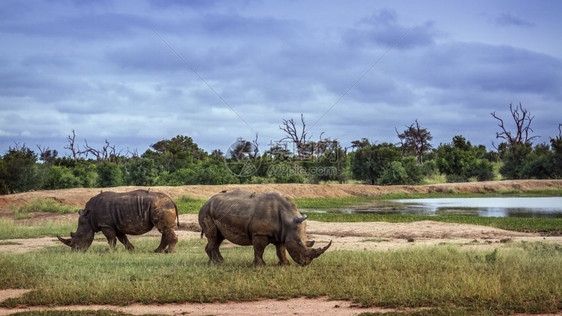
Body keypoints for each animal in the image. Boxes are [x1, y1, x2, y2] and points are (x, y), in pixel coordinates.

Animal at [198, 191, 330, 266]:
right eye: (298, 243)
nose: (306, 263)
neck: (289, 218)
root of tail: (206, 202)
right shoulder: (259, 233)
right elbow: (259, 249)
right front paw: (260, 265)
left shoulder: (283, 233)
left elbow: (281, 250)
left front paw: (286, 264)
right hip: (206, 211)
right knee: (213, 237)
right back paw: (220, 263)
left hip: (218, 209)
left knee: (218, 238)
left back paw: (215, 263)